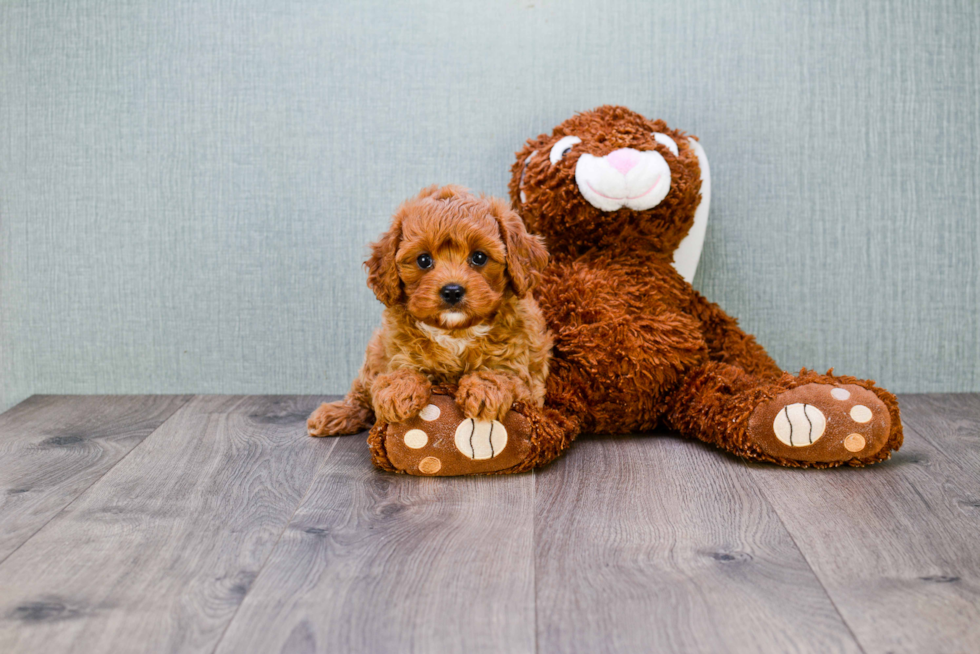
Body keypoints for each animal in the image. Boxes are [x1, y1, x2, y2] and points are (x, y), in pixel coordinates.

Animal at [306, 184, 552, 438]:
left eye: (479, 257)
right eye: (424, 260)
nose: (452, 291)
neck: (455, 331)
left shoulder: (525, 376)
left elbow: (502, 374)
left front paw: (484, 390)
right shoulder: (396, 352)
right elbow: (400, 371)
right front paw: (399, 391)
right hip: (374, 354)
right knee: (362, 392)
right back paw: (336, 414)